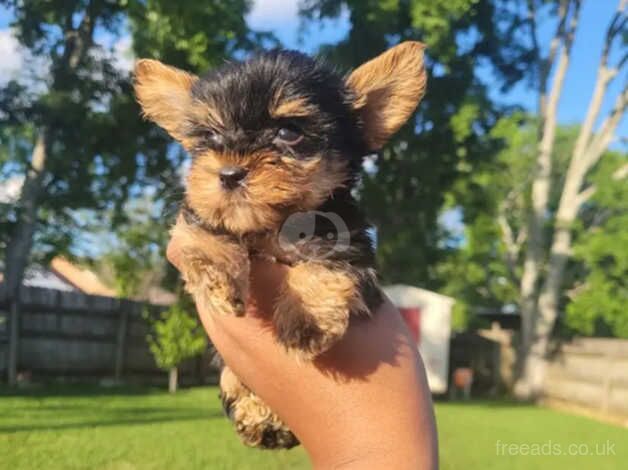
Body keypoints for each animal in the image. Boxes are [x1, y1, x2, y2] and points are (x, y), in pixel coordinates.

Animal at [132, 42, 426, 450]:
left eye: (289, 131)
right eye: (209, 136)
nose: (228, 173)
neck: (271, 226)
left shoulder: (349, 242)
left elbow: (324, 264)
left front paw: (304, 318)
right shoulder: (199, 218)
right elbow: (202, 234)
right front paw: (218, 278)